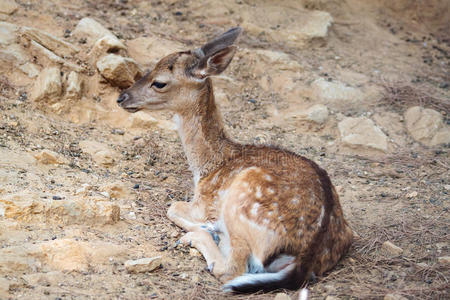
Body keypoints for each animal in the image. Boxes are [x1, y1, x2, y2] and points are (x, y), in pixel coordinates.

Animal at [117, 27, 356, 292]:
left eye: (159, 82)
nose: (122, 97)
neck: (208, 165)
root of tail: (306, 258)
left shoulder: (205, 202)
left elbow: (173, 207)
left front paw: (206, 228)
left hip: (240, 203)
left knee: (231, 270)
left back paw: (202, 236)